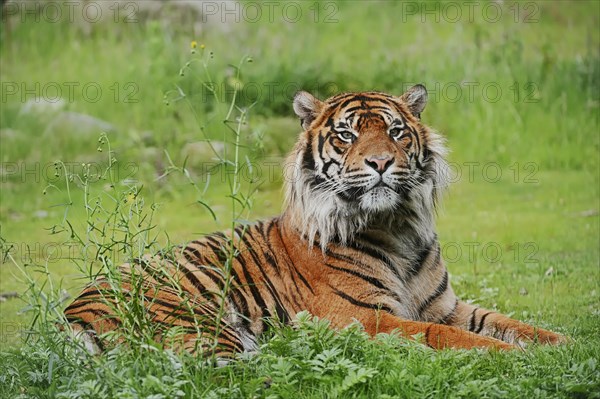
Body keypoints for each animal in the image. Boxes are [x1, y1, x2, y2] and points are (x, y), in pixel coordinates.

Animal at [65, 86, 568, 358]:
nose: (381, 162)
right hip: (200, 322)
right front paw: (510, 355)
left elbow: (507, 322)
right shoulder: (364, 317)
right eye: (346, 134)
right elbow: (444, 335)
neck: (397, 225)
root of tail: (70, 313)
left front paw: (562, 343)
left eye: (396, 131)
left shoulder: (446, 305)